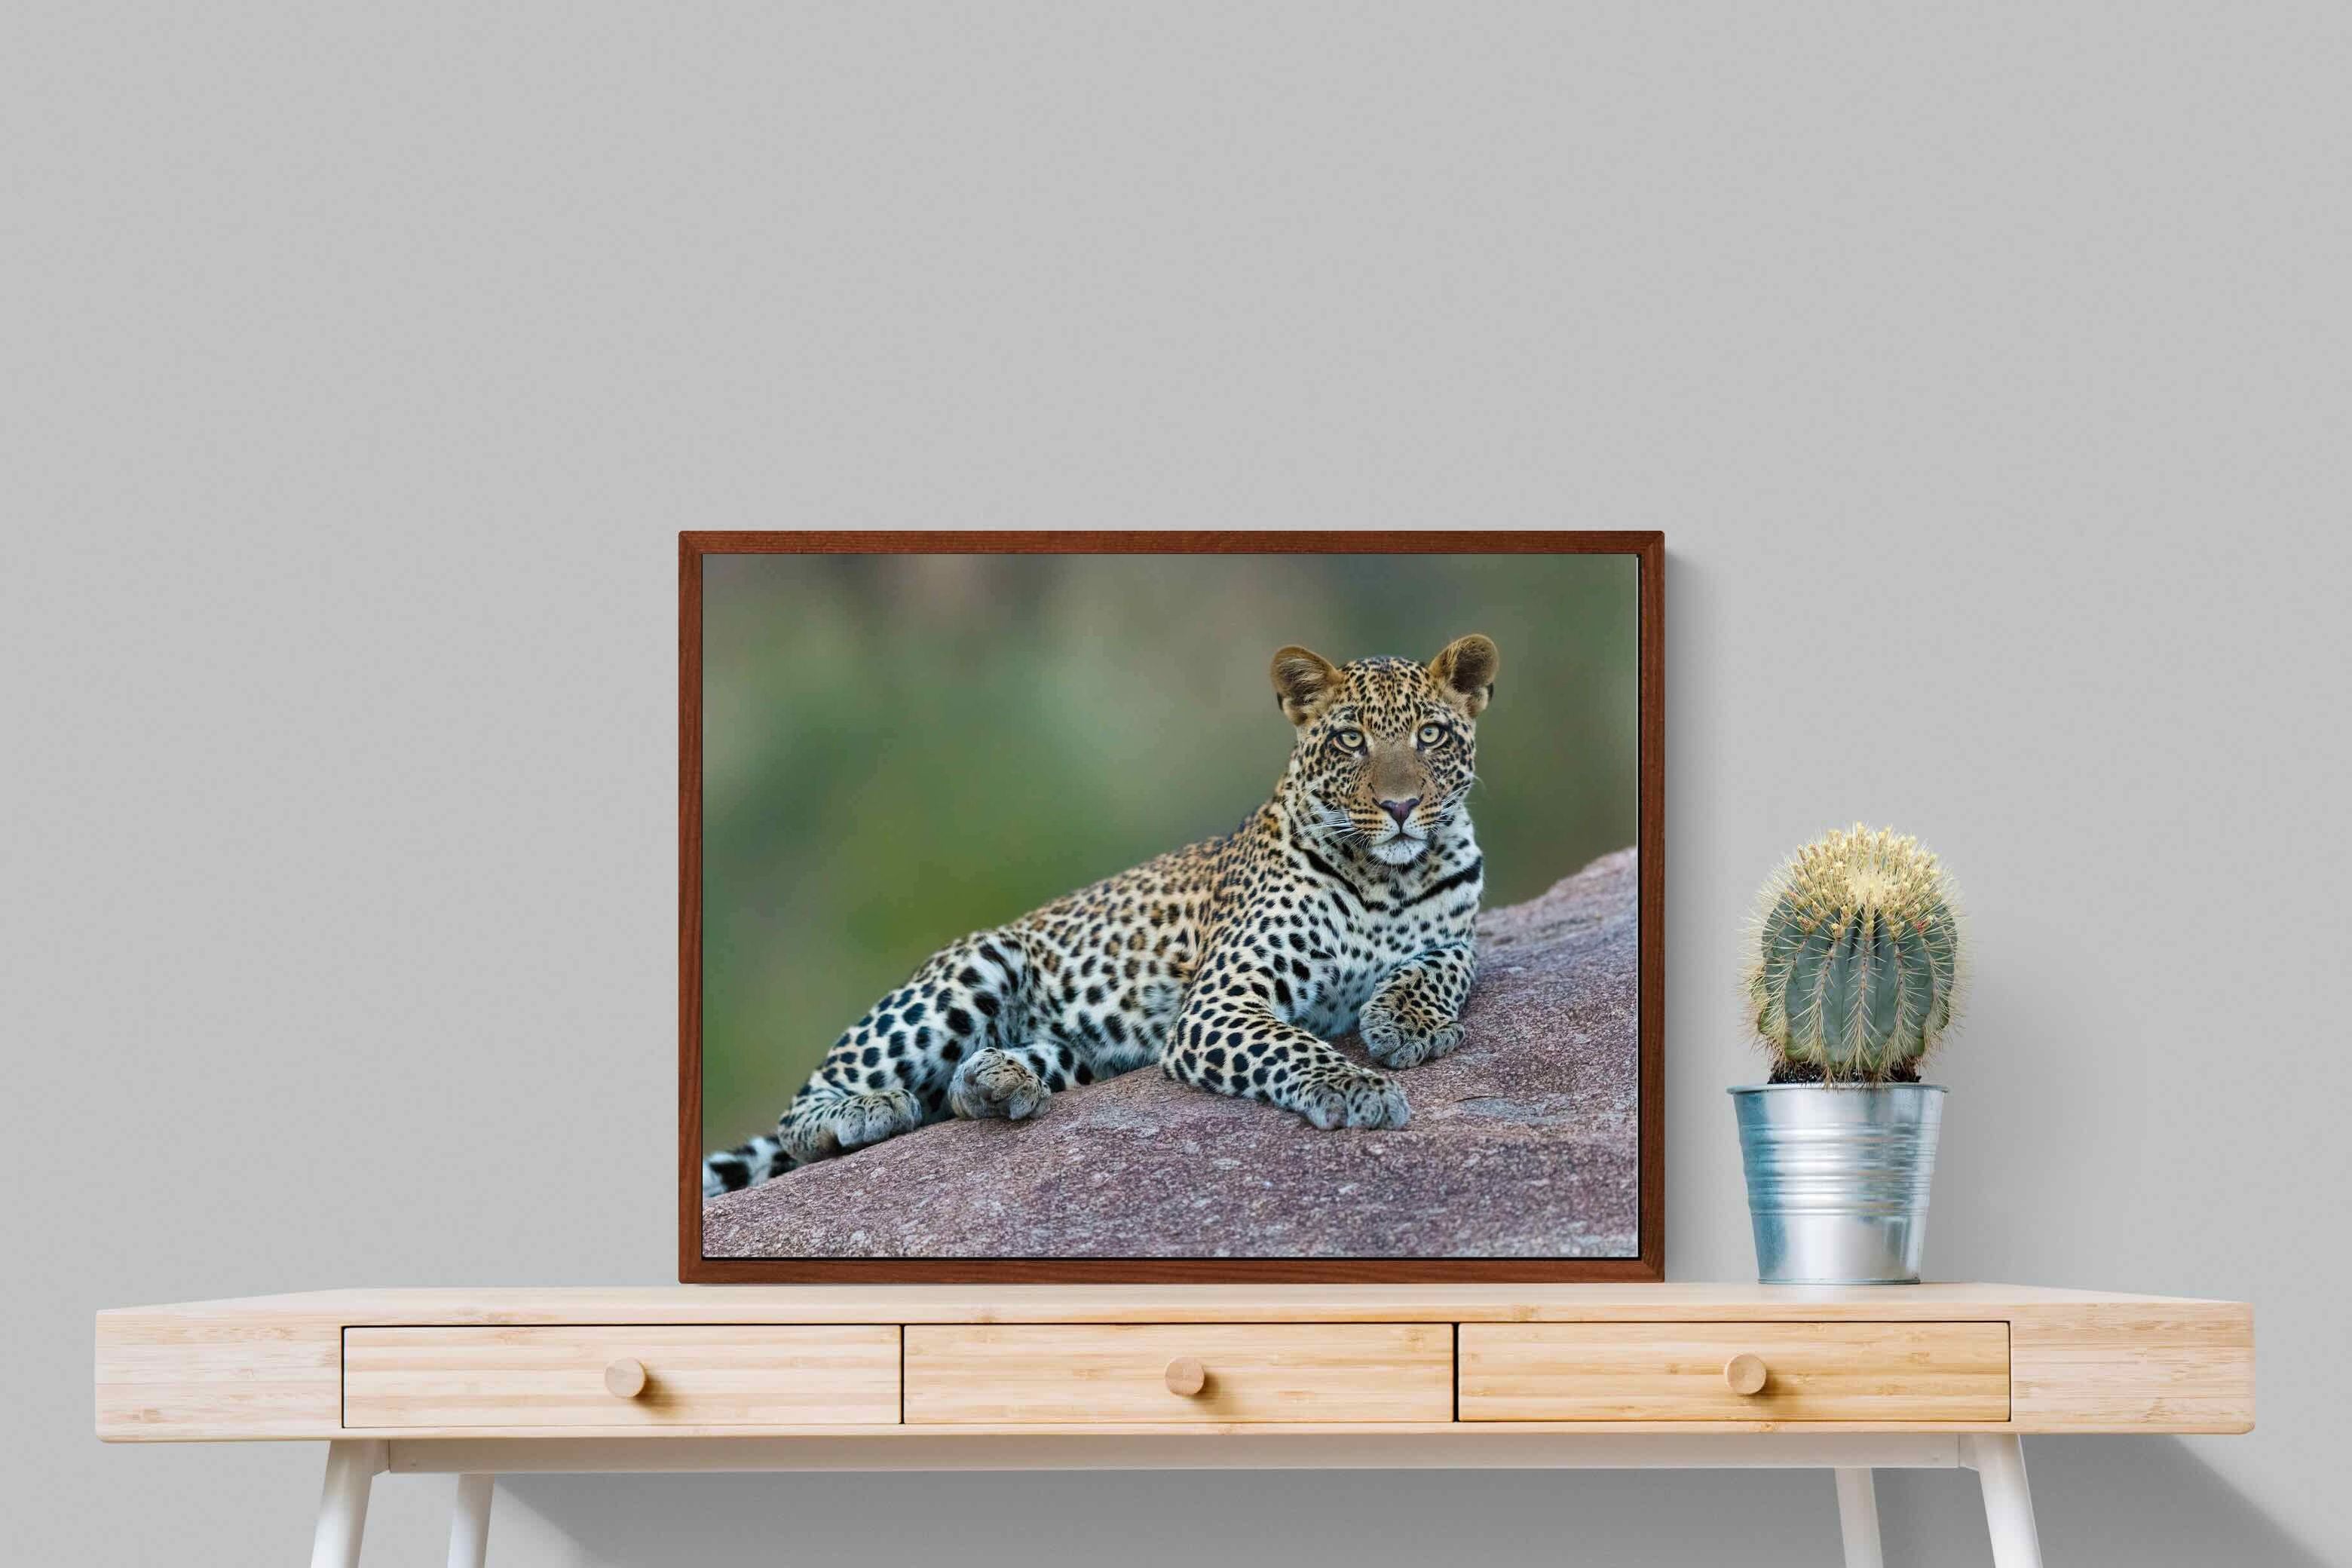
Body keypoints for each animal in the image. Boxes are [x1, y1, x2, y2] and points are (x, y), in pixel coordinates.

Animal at [701, 633, 1499, 1198]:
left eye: (1430, 736)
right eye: (1349, 740)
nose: (1401, 806)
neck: (1389, 876)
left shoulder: (1459, 935)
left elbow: (1441, 967)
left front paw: (1409, 1023)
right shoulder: (1220, 1003)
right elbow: (1296, 1047)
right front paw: (1358, 1087)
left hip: (1082, 1050)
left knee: (966, 1087)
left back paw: (998, 1081)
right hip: (974, 968)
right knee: (805, 1111)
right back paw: (864, 1112)